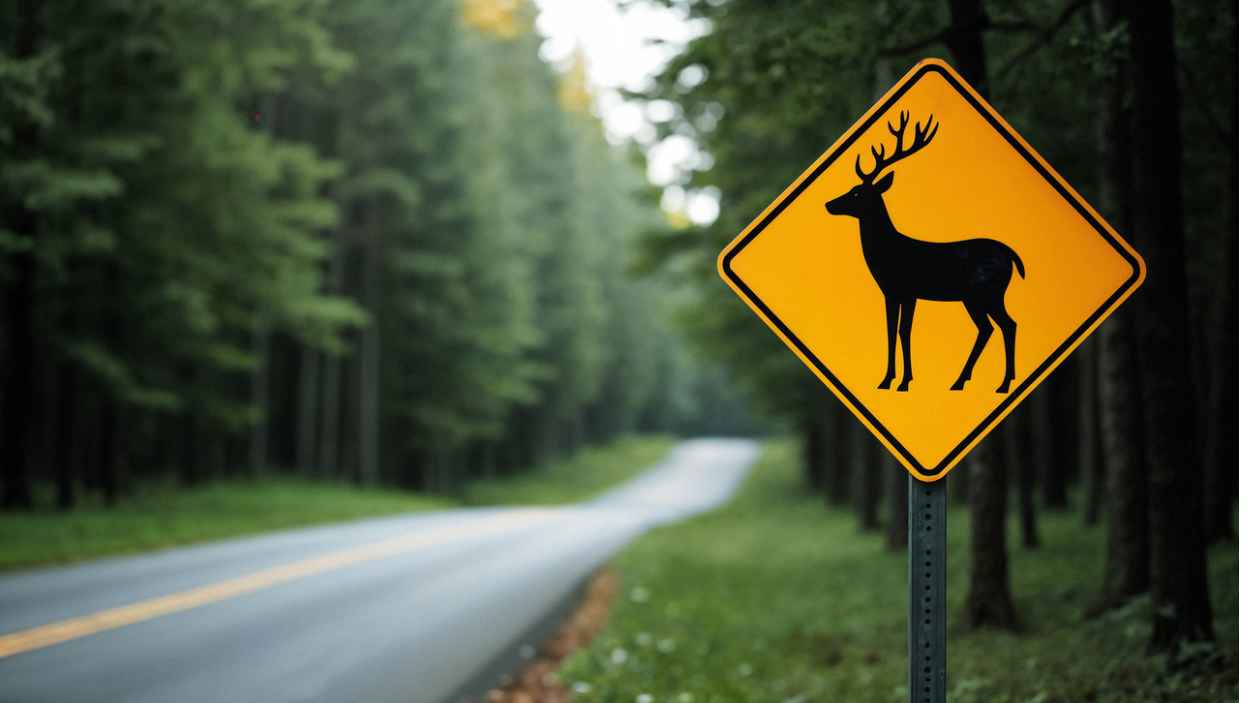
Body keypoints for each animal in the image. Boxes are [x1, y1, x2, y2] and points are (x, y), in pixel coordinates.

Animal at [824, 110, 1024, 394]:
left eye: (857, 192)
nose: (829, 204)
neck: (886, 253)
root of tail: (1011, 254)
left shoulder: (903, 289)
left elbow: (900, 331)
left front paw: (899, 381)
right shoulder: (896, 292)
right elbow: (894, 330)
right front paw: (893, 379)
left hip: (985, 291)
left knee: (1004, 325)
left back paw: (998, 383)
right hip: (979, 296)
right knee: (993, 327)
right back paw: (968, 380)